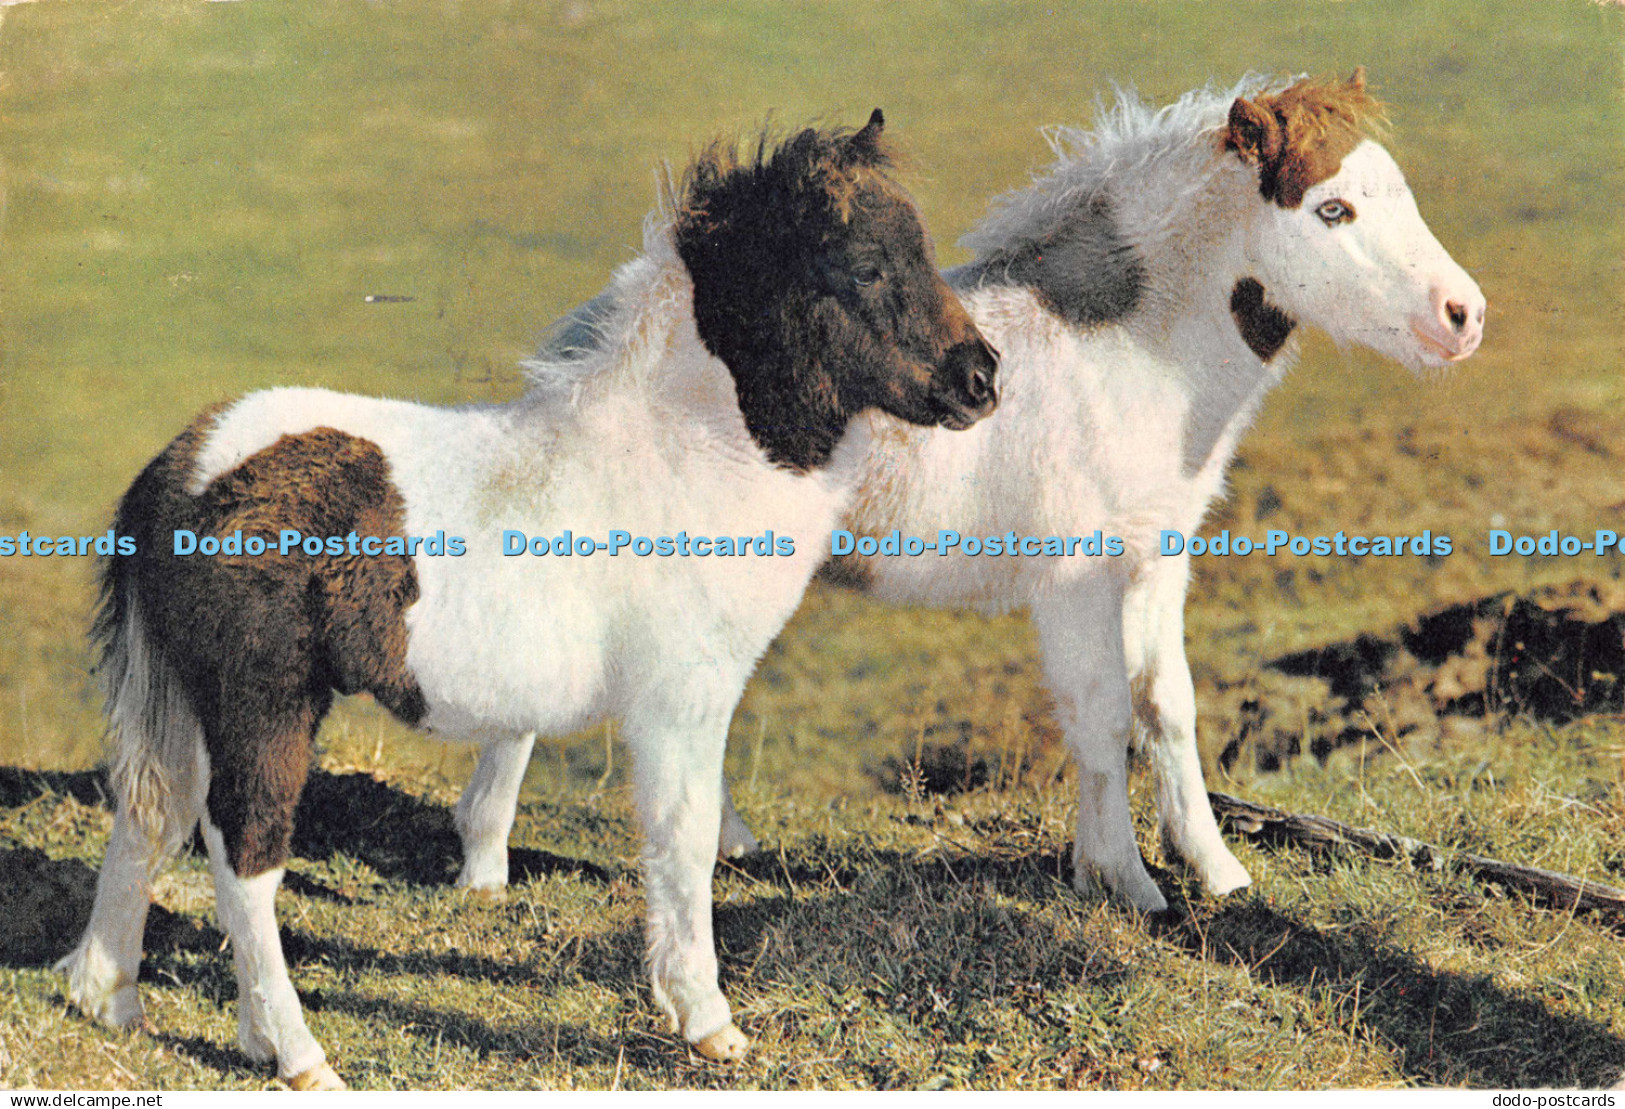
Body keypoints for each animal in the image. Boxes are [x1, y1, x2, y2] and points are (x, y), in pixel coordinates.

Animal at [56, 110, 1000, 1088]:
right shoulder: (678, 703)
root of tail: (176, 473)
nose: (982, 380)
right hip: (263, 703)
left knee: (149, 813)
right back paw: (298, 1052)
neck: (681, 458)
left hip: (189, 697)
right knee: (243, 850)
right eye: (863, 265)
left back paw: (114, 998)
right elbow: (684, 839)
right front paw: (705, 1020)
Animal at [484, 71, 1484, 918]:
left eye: (1398, 189)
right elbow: (1099, 718)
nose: (1463, 315)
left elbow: (1167, 706)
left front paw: (1215, 871)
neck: (1129, 358)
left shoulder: (1155, 561)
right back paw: (491, 869)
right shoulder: (1075, 581)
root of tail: (593, 335)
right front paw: (1125, 881)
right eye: (1331, 208)